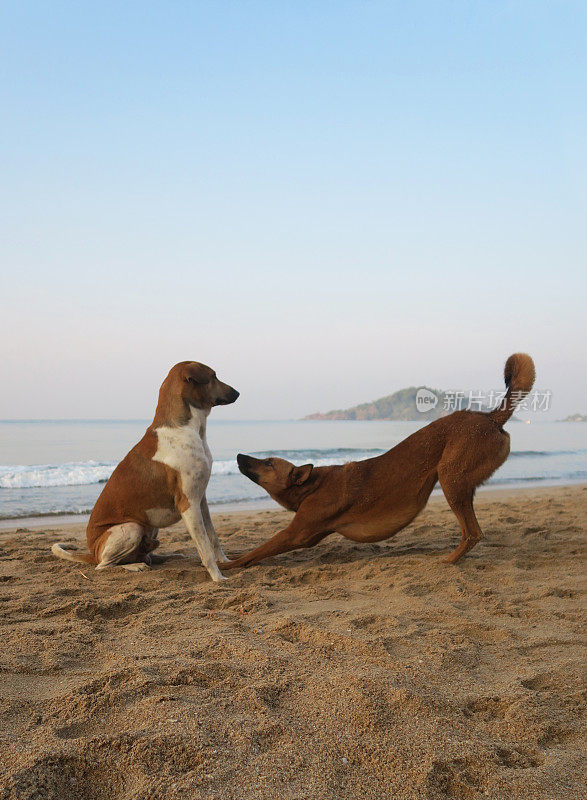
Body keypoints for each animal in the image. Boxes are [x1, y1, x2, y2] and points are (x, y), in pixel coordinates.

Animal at [51, 362, 239, 580]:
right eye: (213, 376)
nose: (237, 392)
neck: (186, 429)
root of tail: (92, 552)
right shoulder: (189, 504)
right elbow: (206, 547)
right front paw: (218, 577)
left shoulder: (201, 500)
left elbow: (214, 538)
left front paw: (225, 562)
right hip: (131, 528)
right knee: (105, 565)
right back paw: (135, 566)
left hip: (151, 527)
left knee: (146, 555)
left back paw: (167, 556)